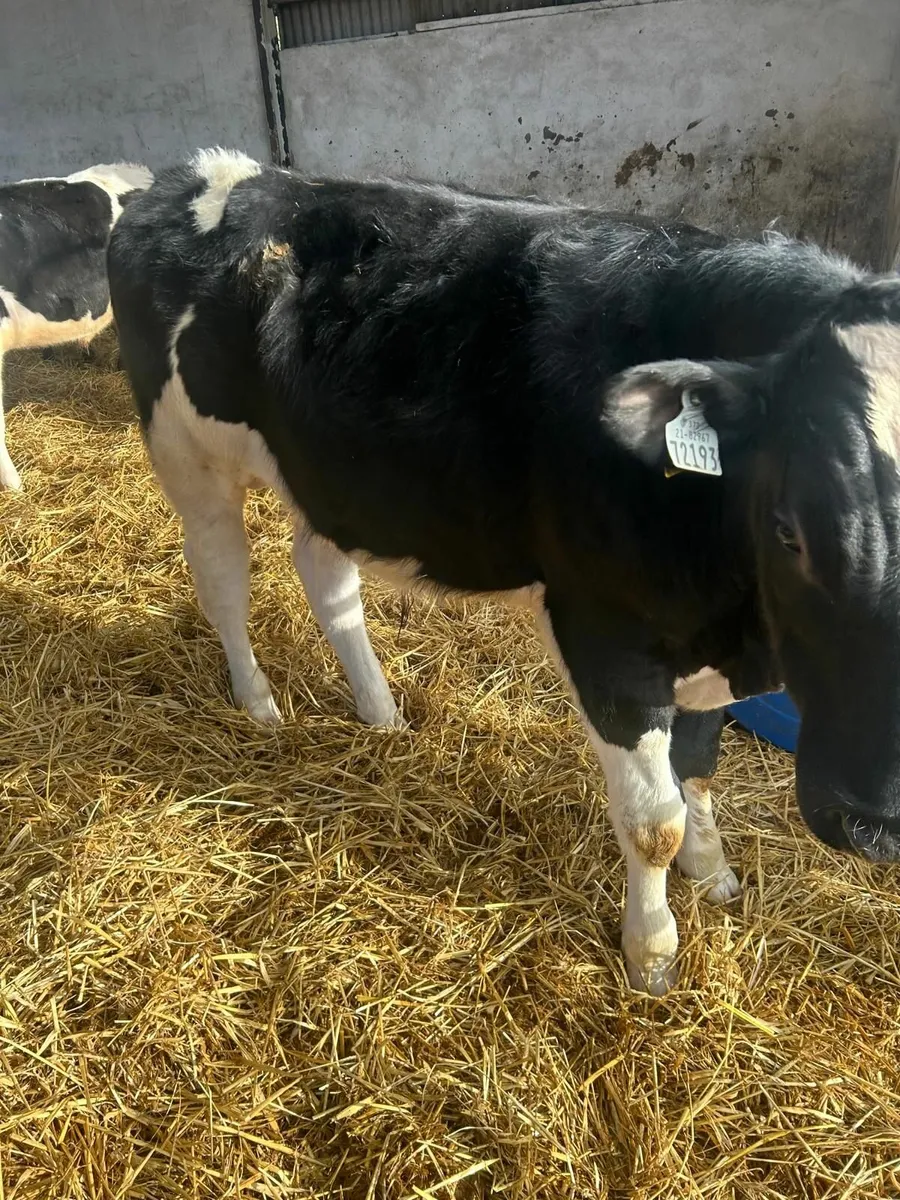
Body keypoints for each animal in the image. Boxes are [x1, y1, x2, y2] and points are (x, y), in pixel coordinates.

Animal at [107, 147, 900, 995]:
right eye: (789, 531)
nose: (873, 823)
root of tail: (200, 171)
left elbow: (699, 771)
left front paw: (712, 869)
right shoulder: (607, 639)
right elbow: (653, 819)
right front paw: (651, 951)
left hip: (333, 478)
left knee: (325, 575)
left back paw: (381, 712)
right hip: (188, 451)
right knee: (223, 575)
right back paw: (258, 703)